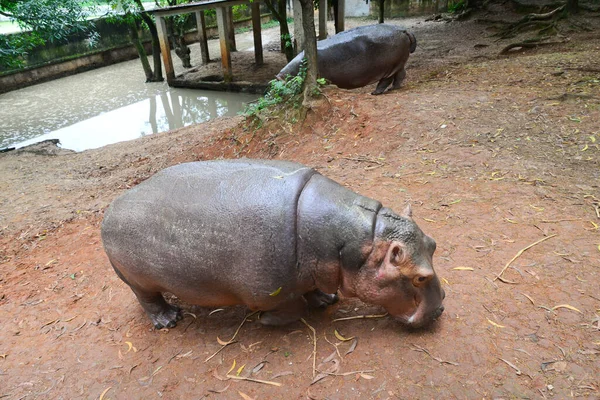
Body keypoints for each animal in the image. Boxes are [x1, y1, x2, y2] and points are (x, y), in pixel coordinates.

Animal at [276, 24, 418, 95]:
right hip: (399, 62)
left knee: (386, 80)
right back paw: (394, 89)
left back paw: (374, 93)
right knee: (401, 74)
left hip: (389, 66)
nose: (277, 76)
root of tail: (402, 29)